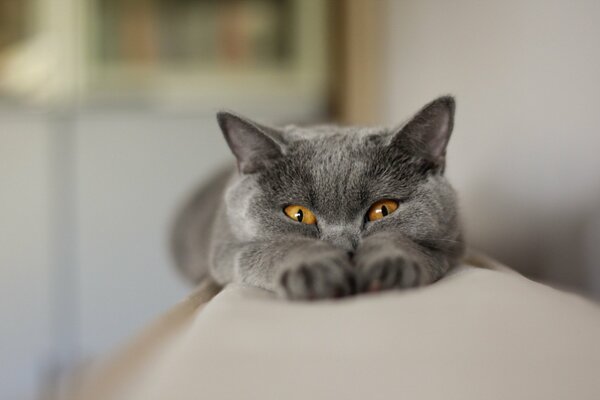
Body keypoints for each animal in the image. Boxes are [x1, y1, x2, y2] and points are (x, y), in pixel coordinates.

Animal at [171, 97, 466, 300]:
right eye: (298, 214)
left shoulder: (453, 245)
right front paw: (315, 270)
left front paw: (389, 266)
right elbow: (277, 246)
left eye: (383, 210)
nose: (343, 250)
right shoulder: (227, 248)